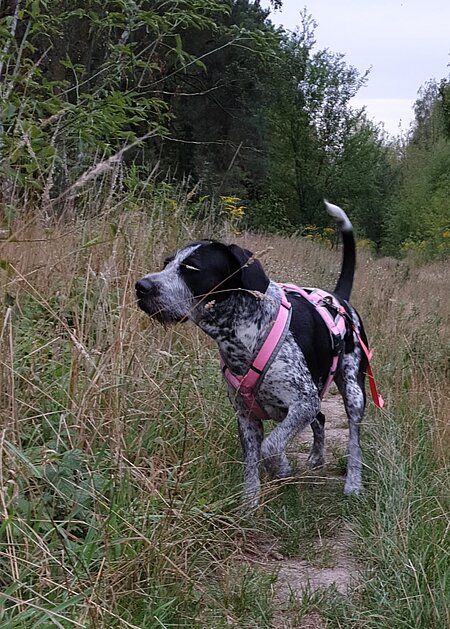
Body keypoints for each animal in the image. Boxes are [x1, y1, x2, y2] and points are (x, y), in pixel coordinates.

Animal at [135, 202, 370, 510]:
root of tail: (338, 298)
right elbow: (251, 465)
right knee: (320, 420)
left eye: (192, 268)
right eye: (167, 264)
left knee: (353, 441)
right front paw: (249, 505)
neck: (243, 335)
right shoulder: (246, 417)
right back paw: (317, 458)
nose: (141, 286)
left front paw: (281, 468)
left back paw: (353, 484)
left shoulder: (303, 402)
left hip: (354, 392)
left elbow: (271, 447)